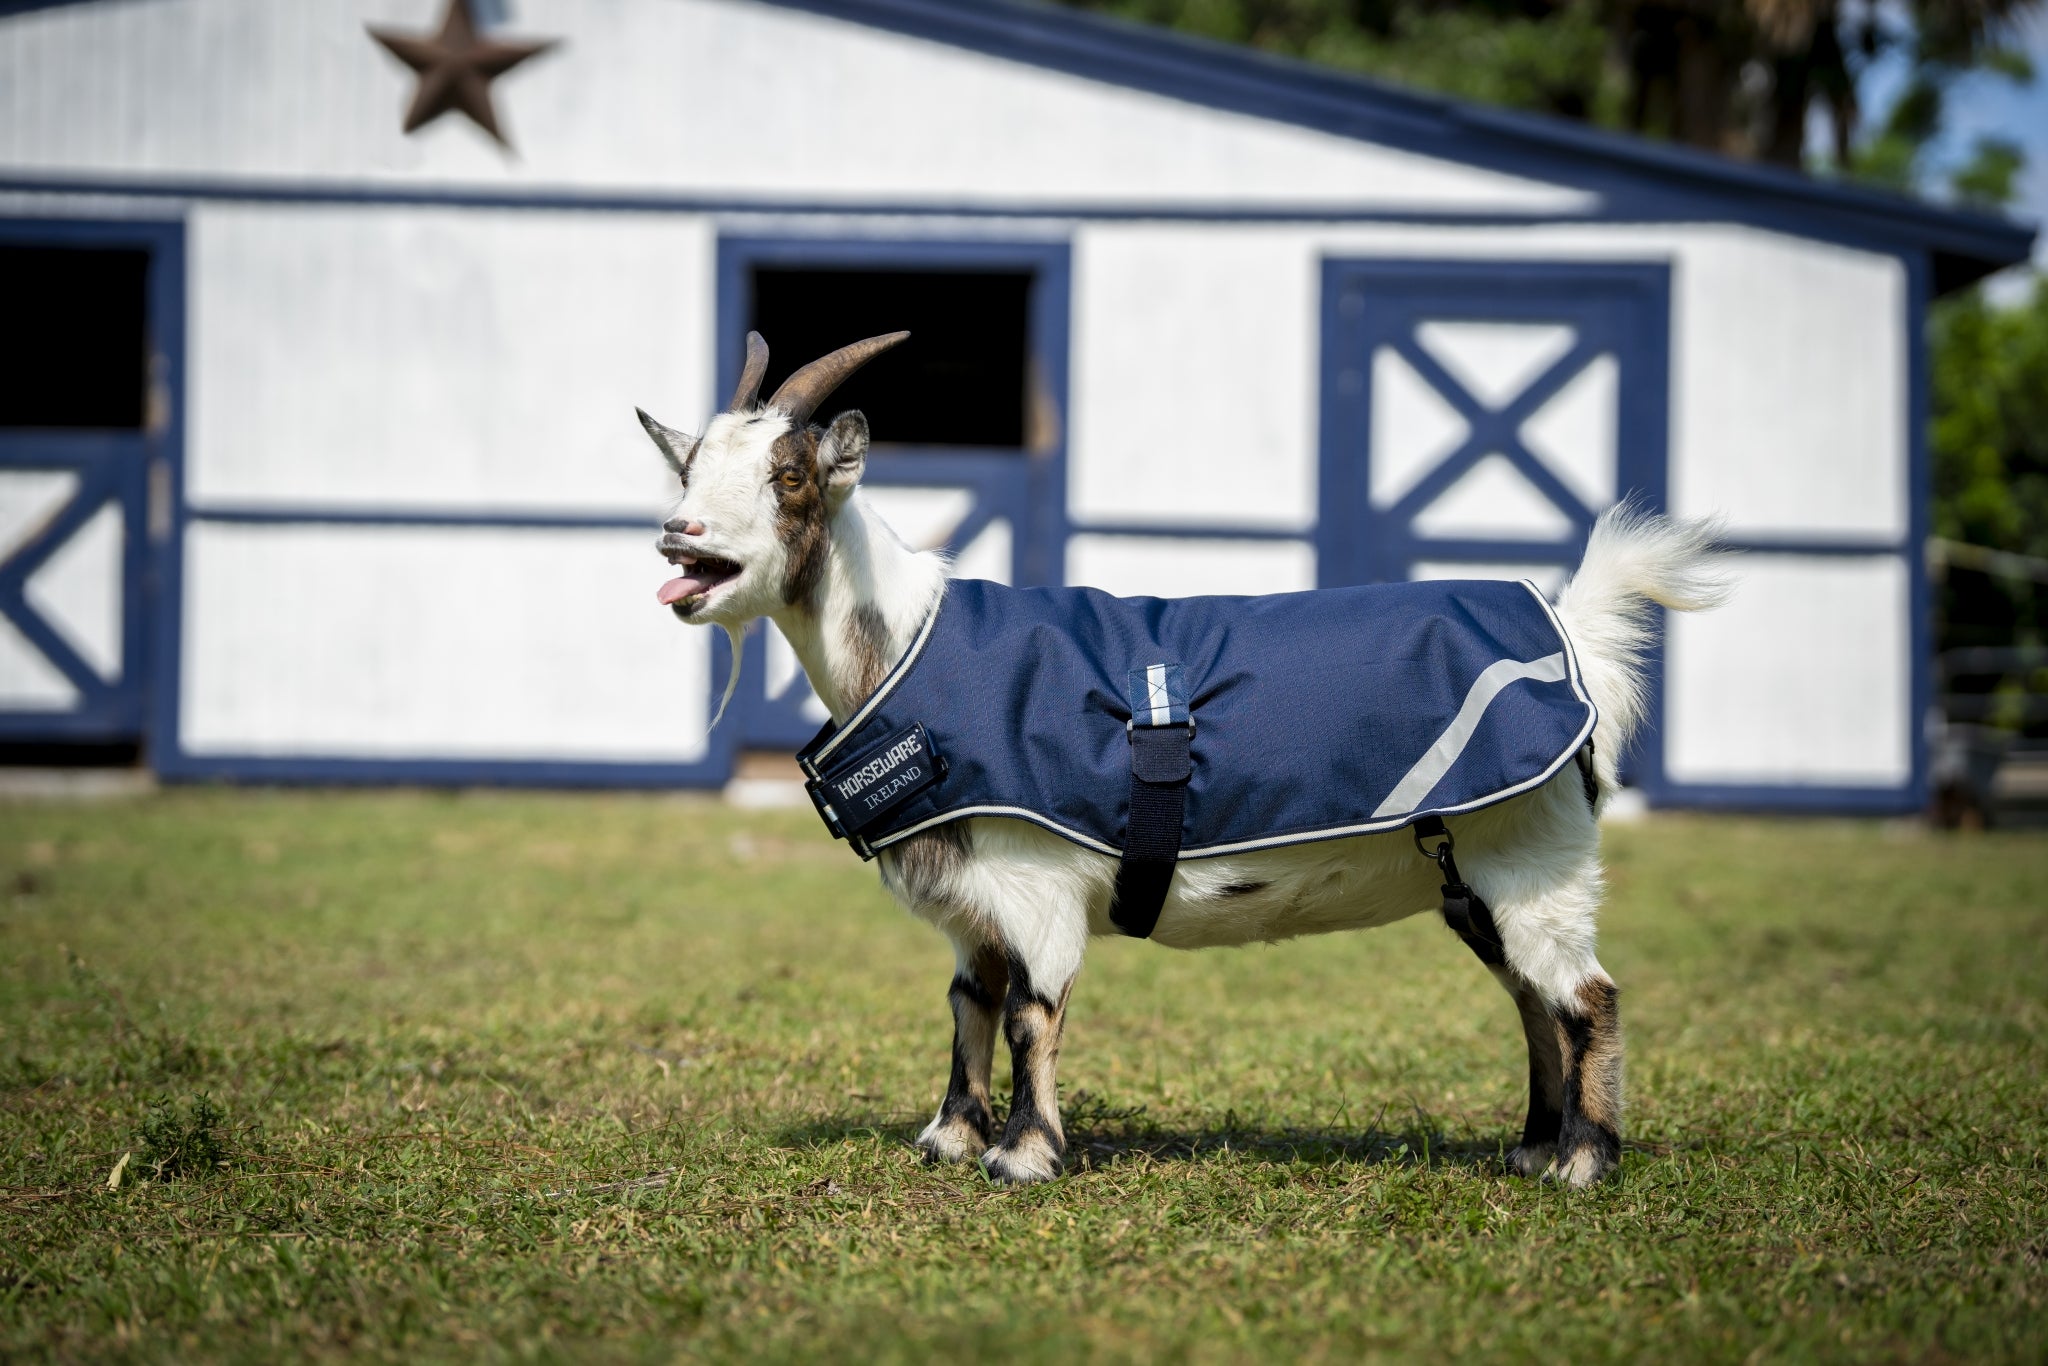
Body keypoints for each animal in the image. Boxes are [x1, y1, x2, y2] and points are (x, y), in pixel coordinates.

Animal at [637, 331, 1729, 1188]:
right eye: (688, 468)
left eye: (788, 476)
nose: (677, 537)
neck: (911, 643)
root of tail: (1569, 630)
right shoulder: (972, 904)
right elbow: (968, 1005)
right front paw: (948, 1137)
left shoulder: (1034, 882)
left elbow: (1031, 1011)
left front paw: (1024, 1156)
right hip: (1474, 876)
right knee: (1532, 1000)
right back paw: (1533, 1147)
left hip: (1533, 854)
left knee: (1583, 997)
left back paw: (1582, 1161)